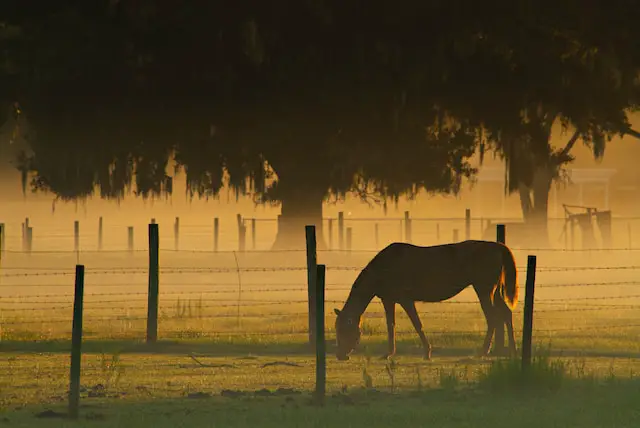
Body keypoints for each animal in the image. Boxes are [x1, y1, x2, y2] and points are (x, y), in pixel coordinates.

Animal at [336, 242, 520, 360]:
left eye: (344, 330)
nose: (340, 356)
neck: (384, 267)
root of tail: (499, 247)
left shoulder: (406, 300)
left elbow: (417, 324)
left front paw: (427, 352)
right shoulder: (389, 300)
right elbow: (391, 325)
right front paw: (389, 353)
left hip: (484, 290)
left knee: (493, 318)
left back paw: (483, 351)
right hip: (494, 291)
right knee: (506, 313)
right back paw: (512, 350)